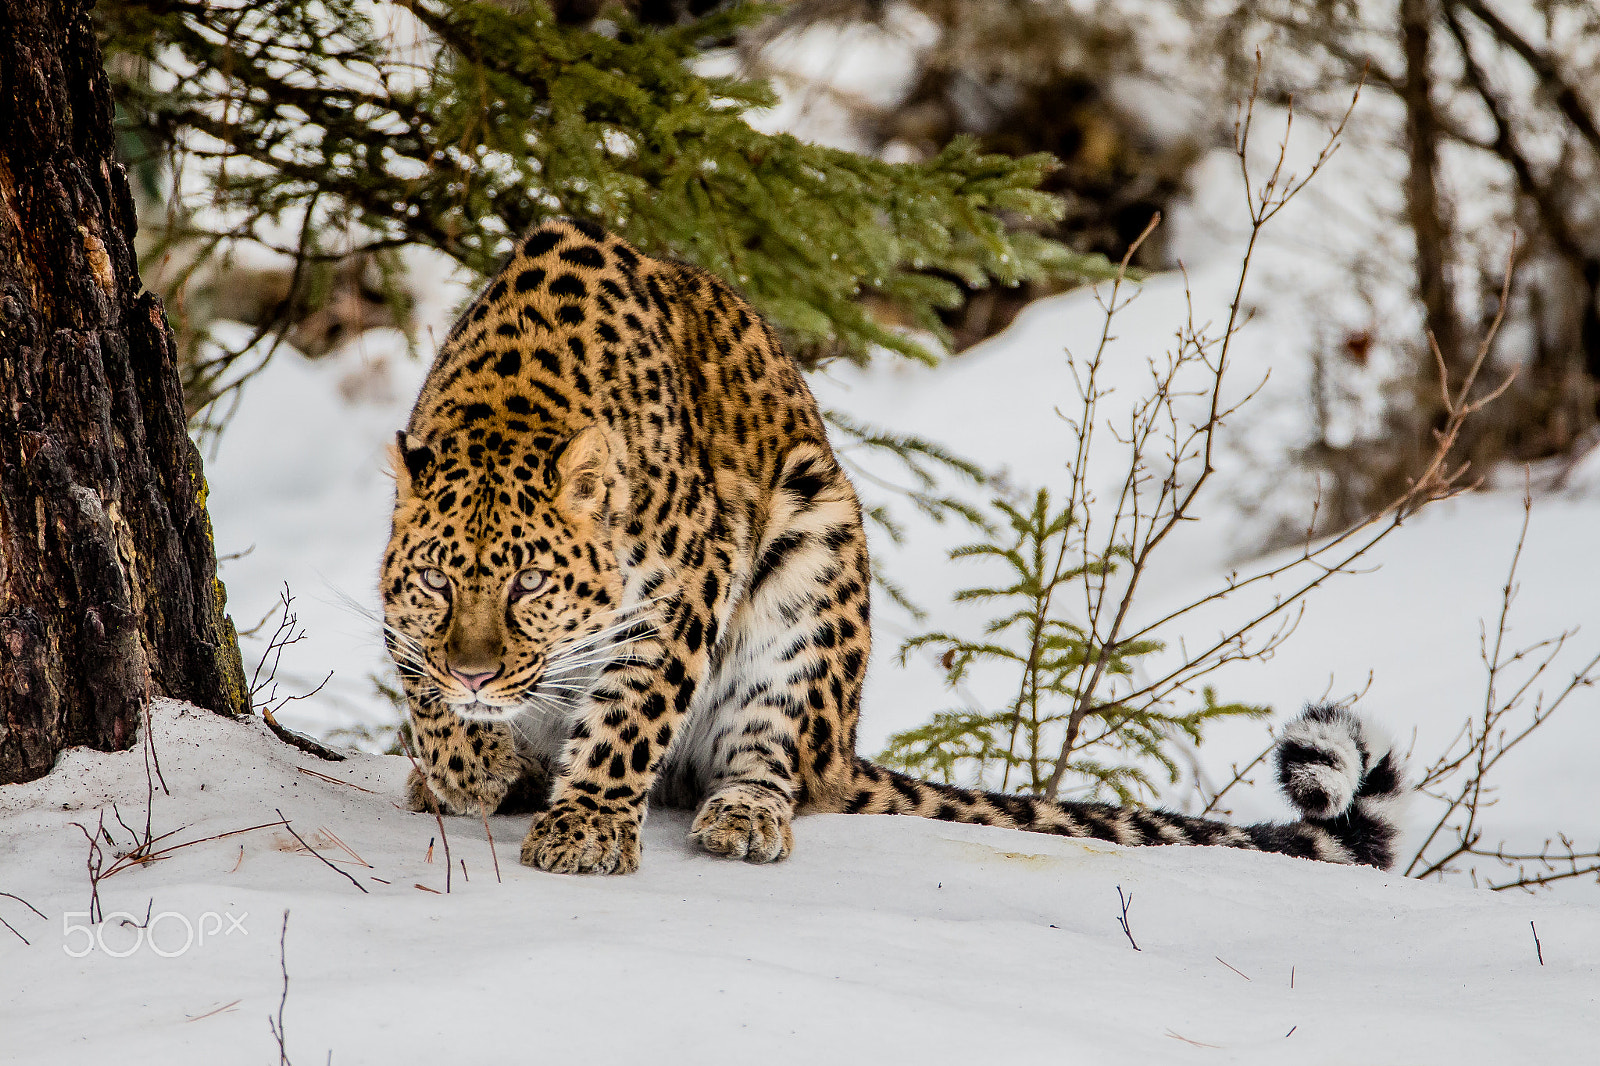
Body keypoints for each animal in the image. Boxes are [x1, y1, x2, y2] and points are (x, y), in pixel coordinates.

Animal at [380, 217, 1410, 875]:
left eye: (530, 585)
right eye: (435, 581)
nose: (477, 676)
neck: (512, 399)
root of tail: (844, 751)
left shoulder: (686, 585)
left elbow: (631, 716)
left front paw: (586, 827)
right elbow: (414, 674)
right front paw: (464, 761)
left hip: (812, 558)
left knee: (771, 759)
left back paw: (741, 817)